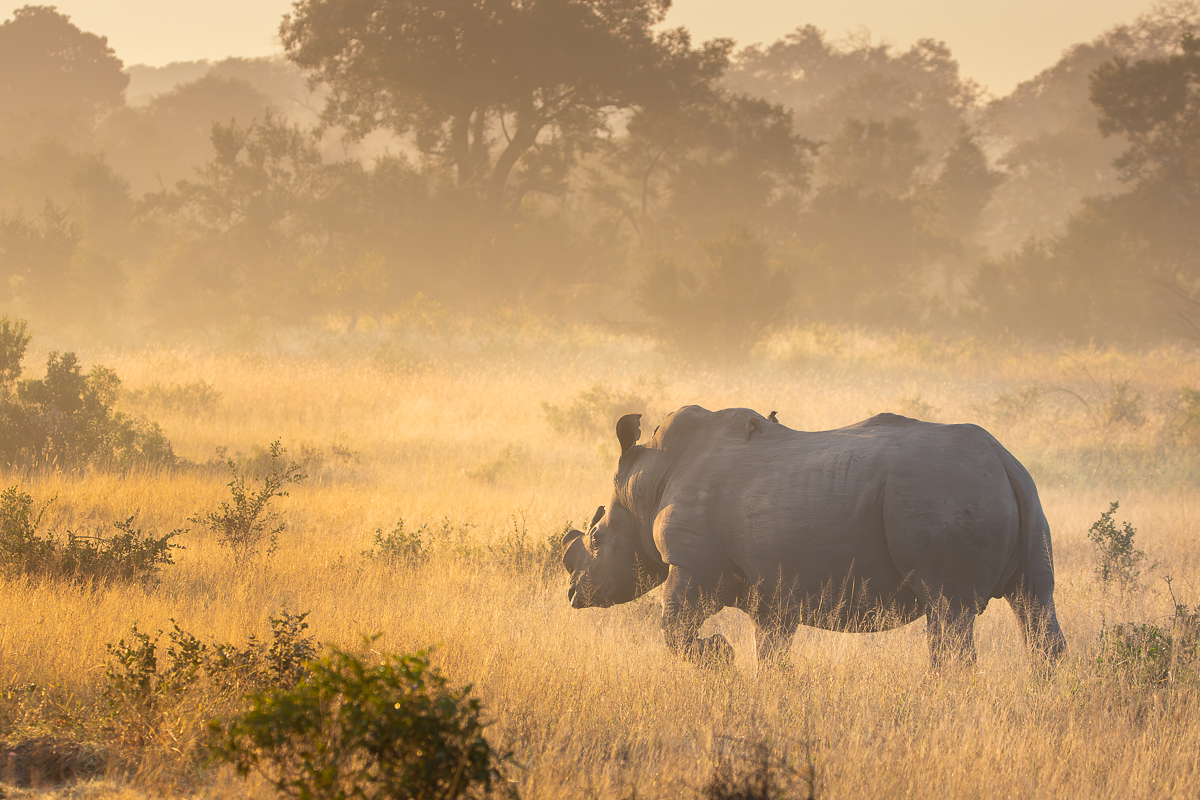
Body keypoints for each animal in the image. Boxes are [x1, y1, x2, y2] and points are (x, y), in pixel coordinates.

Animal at [561, 406, 1066, 666]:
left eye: (595, 541)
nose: (573, 595)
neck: (645, 485)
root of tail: (1002, 458)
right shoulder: (771, 590)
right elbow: (771, 651)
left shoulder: (691, 563)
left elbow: (673, 628)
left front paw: (721, 658)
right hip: (1017, 492)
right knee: (1033, 601)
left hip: (941, 491)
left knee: (949, 609)